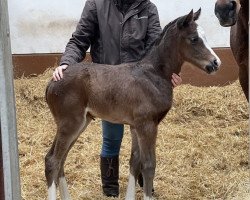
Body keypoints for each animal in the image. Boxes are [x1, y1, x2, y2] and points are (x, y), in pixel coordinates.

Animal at [45, 9, 221, 200]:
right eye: (194, 38)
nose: (215, 63)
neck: (154, 74)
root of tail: (52, 81)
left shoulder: (136, 126)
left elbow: (134, 161)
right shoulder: (147, 125)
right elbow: (149, 165)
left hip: (81, 123)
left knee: (61, 158)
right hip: (70, 123)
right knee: (53, 160)